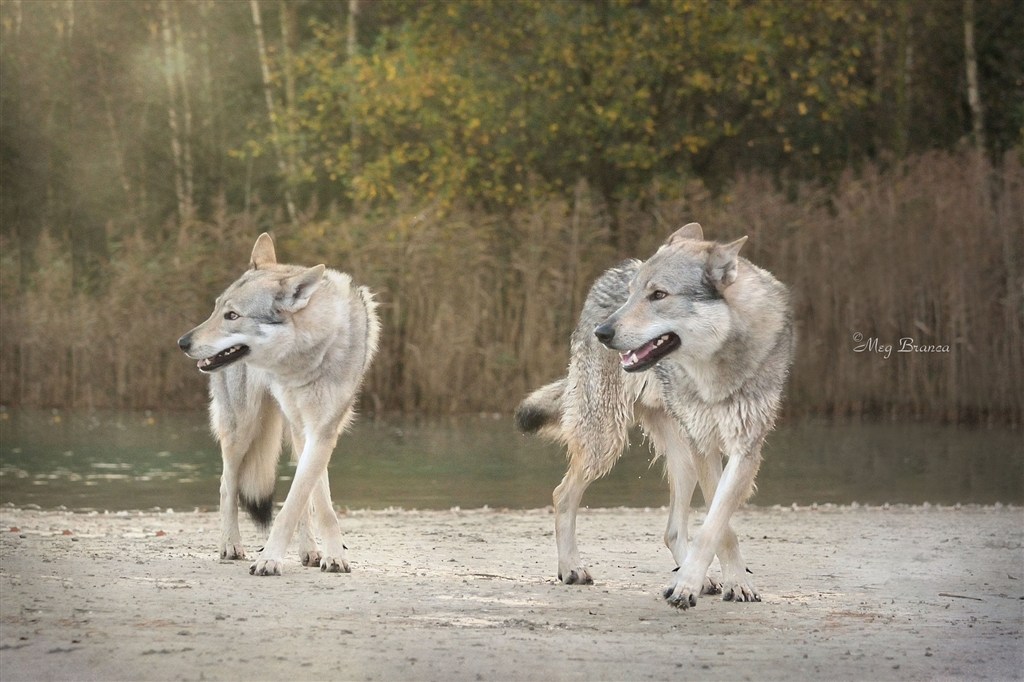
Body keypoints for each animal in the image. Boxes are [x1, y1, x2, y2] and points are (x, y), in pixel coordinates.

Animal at [176, 233, 380, 573]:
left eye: (233, 315)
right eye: (216, 310)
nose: (182, 343)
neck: (306, 358)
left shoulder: (322, 431)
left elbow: (307, 501)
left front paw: (332, 555)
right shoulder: (303, 428)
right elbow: (304, 499)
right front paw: (270, 558)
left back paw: (310, 552)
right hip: (242, 428)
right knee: (227, 484)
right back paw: (231, 545)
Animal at [516, 222, 794, 606]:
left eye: (659, 294)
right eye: (633, 294)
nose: (602, 332)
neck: (716, 370)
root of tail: (613, 270)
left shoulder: (745, 449)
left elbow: (714, 525)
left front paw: (711, 583)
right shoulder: (706, 446)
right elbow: (723, 531)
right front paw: (708, 584)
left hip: (682, 460)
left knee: (672, 529)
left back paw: (700, 579)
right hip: (608, 443)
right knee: (562, 494)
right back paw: (571, 568)